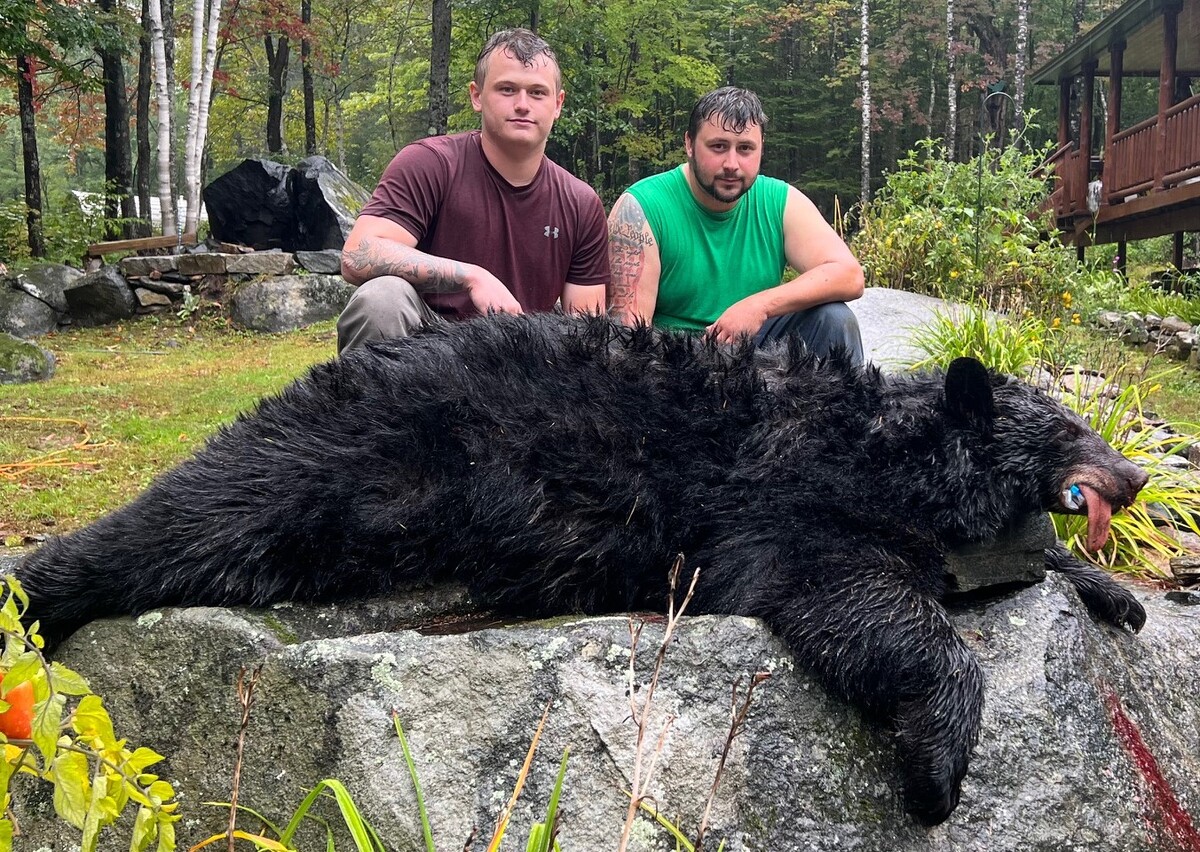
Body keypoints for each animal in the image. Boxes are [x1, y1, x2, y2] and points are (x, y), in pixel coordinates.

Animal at [15, 312, 1148, 826]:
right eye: (1073, 428)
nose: (1139, 473)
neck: (889, 449)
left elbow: (1025, 567)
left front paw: (1114, 593)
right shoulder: (783, 497)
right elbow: (853, 598)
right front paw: (935, 769)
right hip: (346, 451)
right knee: (199, 512)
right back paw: (35, 590)